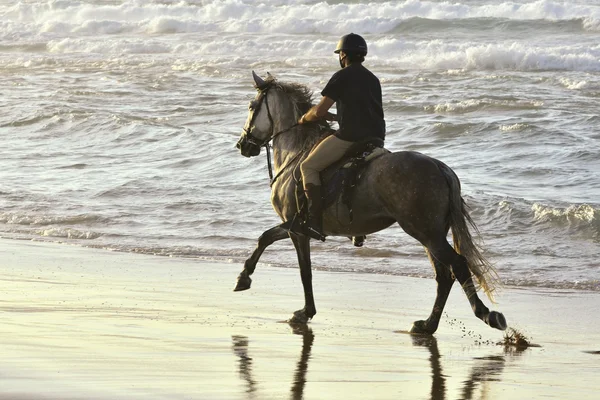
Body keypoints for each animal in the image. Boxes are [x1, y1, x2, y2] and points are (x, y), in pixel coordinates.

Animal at [234, 71, 506, 334]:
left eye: (251, 106)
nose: (243, 145)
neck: (295, 151)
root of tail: (439, 167)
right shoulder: (293, 225)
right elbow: (265, 238)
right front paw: (244, 278)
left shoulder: (297, 229)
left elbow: (303, 270)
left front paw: (304, 311)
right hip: (432, 234)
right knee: (444, 276)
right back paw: (428, 325)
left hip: (425, 232)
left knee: (457, 266)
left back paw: (485, 314)